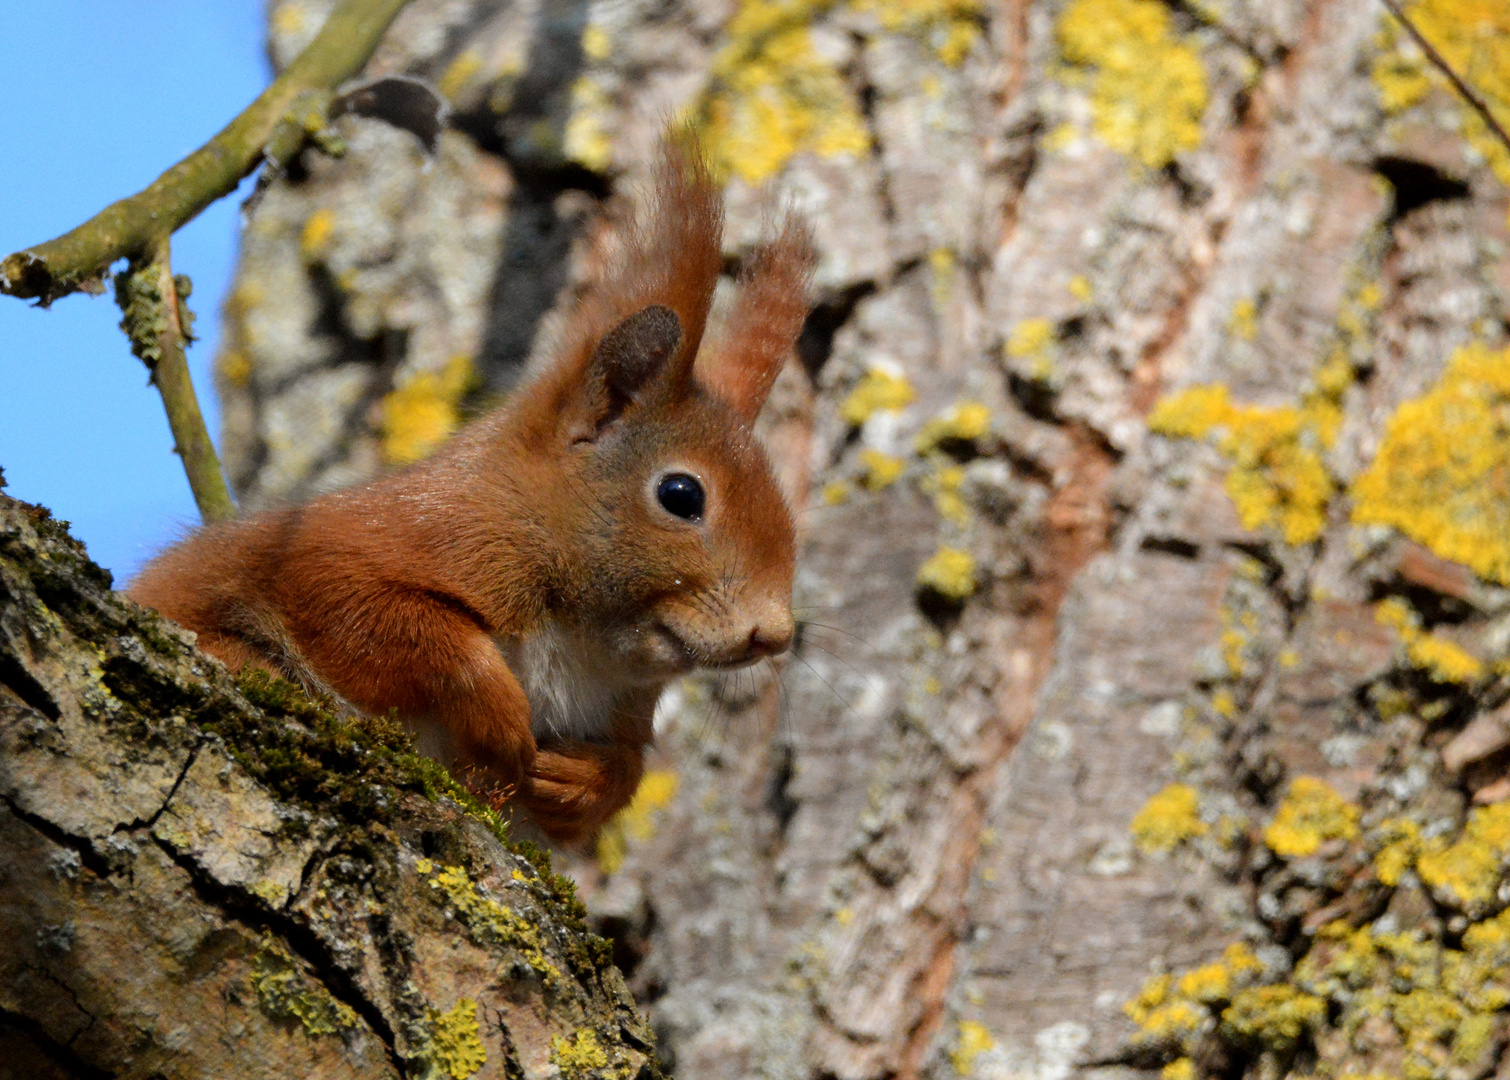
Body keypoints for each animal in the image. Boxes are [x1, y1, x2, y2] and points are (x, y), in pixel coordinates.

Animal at [129, 135, 815, 845]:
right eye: (681, 495)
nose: (775, 634)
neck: (586, 640)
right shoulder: (367, 545)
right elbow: (370, 614)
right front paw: (497, 707)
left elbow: (616, 780)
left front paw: (580, 780)